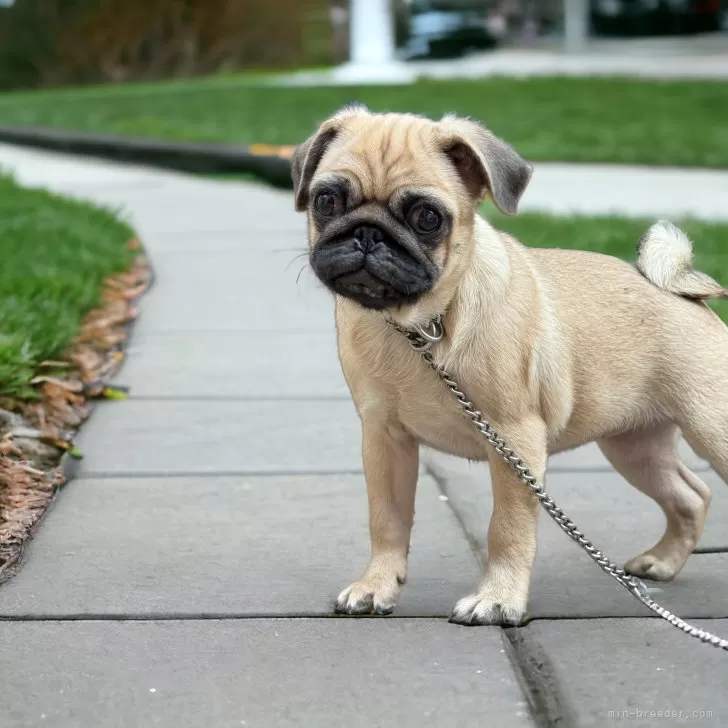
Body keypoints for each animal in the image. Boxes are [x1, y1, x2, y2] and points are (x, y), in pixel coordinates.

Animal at [292, 102, 728, 624]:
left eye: (426, 217)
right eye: (326, 201)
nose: (367, 234)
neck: (423, 326)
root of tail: (685, 291)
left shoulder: (515, 440)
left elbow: (508, 528)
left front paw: (498, 599)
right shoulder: (384, 439)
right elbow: (387, 519)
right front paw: (376, 586)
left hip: (711, 427)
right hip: (634, 447)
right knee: (690, 495)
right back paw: (661, 562)